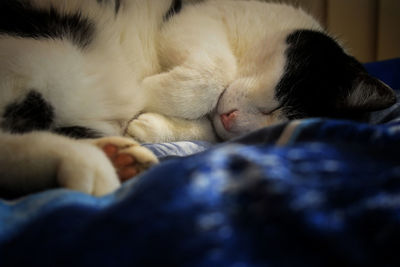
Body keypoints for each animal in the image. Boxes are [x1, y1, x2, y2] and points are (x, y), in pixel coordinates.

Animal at [0, 0, 396, 198]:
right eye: (275, 102)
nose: (232, 118)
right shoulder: (196, 17)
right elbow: (213, 73)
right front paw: (145, 90)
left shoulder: (213, 129)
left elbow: (202, 128)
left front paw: (147, 125)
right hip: (51, 56)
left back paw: (108, 160)